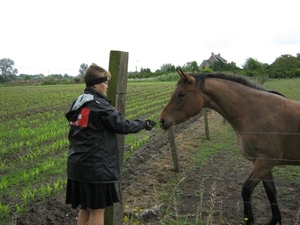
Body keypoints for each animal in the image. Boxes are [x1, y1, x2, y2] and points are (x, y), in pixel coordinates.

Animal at [159, 70, 300, 225]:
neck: (258, 112)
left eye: (181, 94)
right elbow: (271, 193)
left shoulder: (266, 161)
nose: (162, 120)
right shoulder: (262, 163)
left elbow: (246, 190)